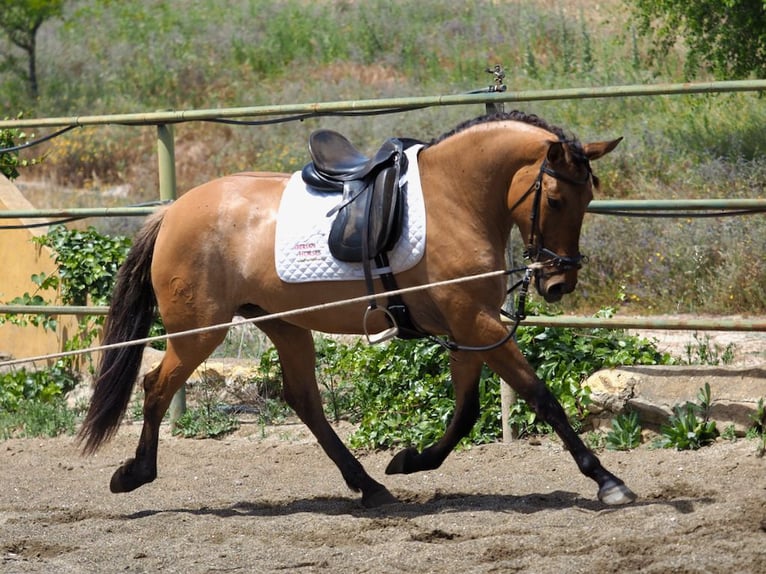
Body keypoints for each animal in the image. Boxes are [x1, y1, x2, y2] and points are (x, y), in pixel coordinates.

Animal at [78, 111, 636, 508]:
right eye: (558, 199)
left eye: (588, 199)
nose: (560, 282)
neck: (456, 199)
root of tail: (173, 210)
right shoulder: (475, 322)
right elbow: (541, 396)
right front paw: (607, 480)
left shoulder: (468, 324)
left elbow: (466, 411)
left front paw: (409, 461)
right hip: (199, 331)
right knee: (156, 386)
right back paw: (134, 473)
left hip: (283, 325)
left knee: (304, 401)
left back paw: (369, 485)